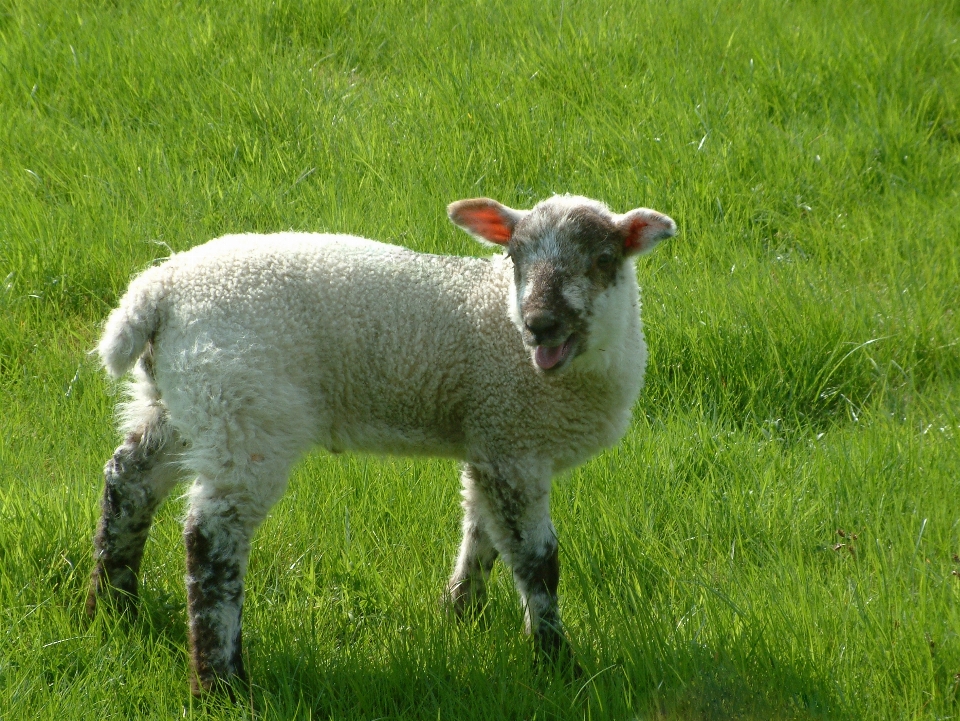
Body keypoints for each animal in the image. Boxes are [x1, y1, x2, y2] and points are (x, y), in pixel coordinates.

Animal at [88, 194, 676, 696]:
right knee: (211, 537)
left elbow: (480, 533)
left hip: (181, 402)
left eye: (603, 259)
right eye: (514, 256)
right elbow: (537, 560)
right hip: (243, 409)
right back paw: (221, 683)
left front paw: (459, 615)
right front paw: (558, 662)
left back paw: (111, 607)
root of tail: (157, 291)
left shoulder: (490, 438)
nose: (540, 324)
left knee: (128, 480)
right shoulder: (515, 442)